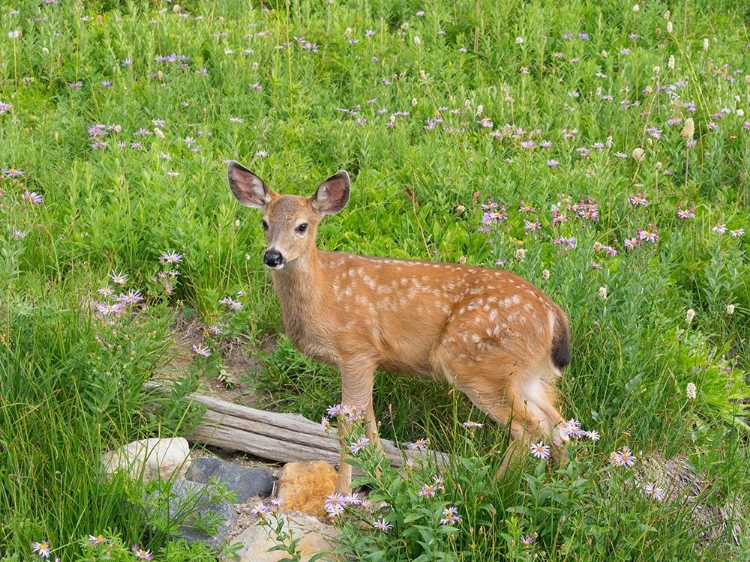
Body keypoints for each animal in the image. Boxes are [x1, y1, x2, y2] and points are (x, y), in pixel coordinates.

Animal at [226, 161, 572, 490]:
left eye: (302, 226)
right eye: (264, 223)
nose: (273, 256)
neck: (326, 295)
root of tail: (553, 314)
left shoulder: (356, 351)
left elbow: (348, 426)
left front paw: (342, 496)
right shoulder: (369, 361)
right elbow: (370, 423)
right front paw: (385, 478)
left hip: (478, 365)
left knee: (529, 429)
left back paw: (491, 487)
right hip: (526, 374)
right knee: (558, 424)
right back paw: (560, 482)